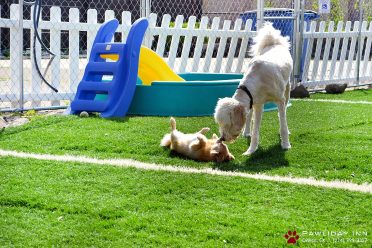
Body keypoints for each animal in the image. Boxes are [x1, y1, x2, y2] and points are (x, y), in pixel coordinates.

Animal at [214, 23, 292, 155]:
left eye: (227, 124)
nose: (222, 138)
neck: (259, 77)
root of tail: (273, 42)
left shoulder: (279, 101)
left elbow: (283, 124)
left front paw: (286, 144)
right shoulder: (257, 105)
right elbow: (255, 129)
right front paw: (251, 150)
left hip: (287, 90)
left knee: (285, 109)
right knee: (249, 116)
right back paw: (246, 132)